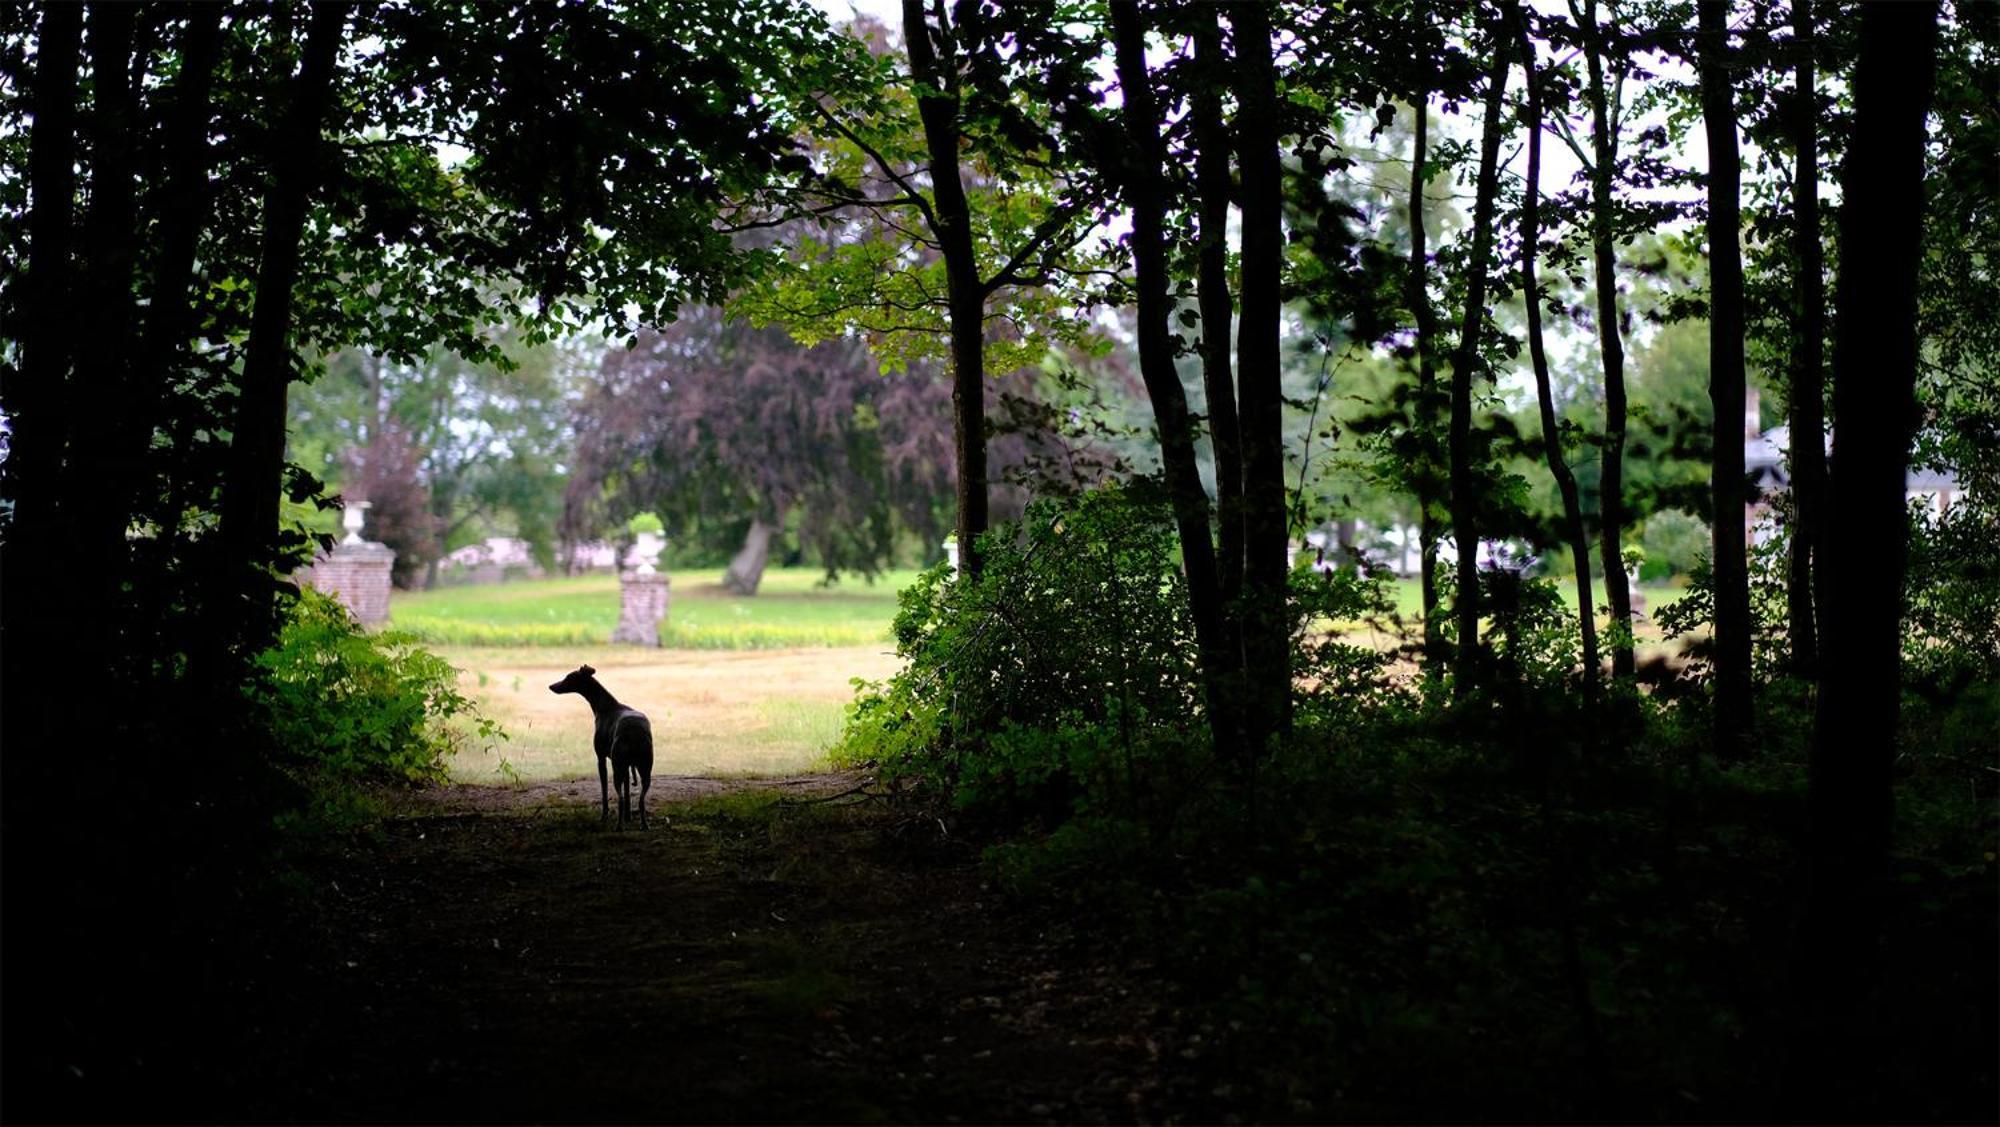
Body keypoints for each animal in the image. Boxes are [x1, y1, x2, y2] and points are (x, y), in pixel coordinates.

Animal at [548, 659, 656, 827]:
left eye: (568, 677)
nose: (551, 686)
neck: (606, 706)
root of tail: (634, 731)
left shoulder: (601, 759)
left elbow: (604, 790)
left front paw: (604, 815)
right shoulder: (626, 767)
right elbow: (627, 792)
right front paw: (628, 817)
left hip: (619, 767)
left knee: (620, 797)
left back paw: (619, 825)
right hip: (644, 769)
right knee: (640, 799)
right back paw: (643, 825)